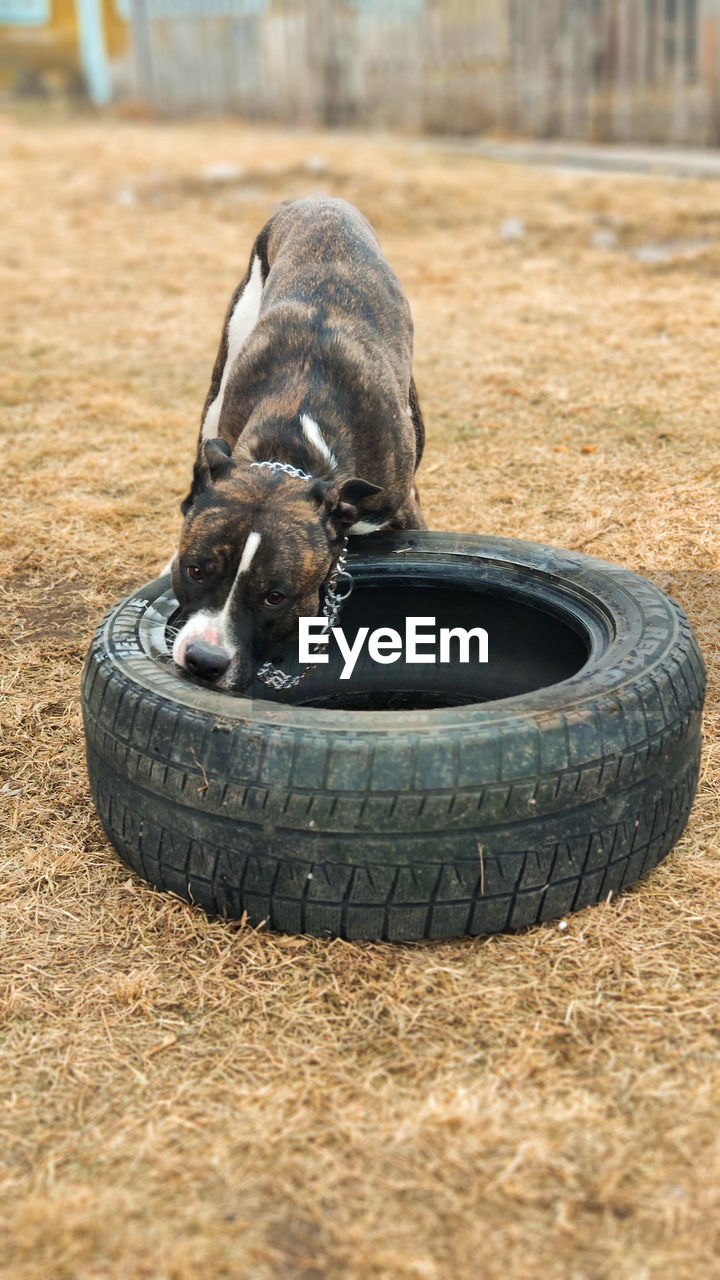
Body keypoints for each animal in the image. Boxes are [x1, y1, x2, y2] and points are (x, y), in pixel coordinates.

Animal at [170, 194, 422, 691]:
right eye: (194, 570)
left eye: (275, 597)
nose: (204, 660)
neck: (292, 450)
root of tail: (318, 199)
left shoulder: (400, 510)